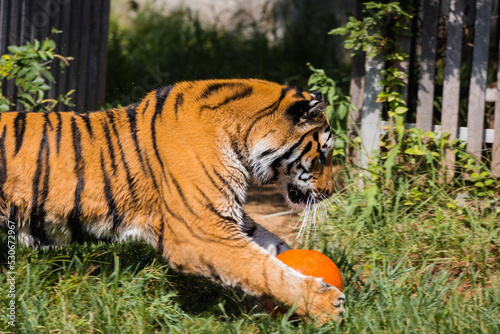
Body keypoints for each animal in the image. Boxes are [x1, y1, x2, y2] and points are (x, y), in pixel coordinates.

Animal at [0, 78, 344, 320]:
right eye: (321, 155)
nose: (330, 192)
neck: (241, 139)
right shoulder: (200, 232)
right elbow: (262, 267)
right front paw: (328, 303)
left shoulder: (222, 215)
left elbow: (271, 248)